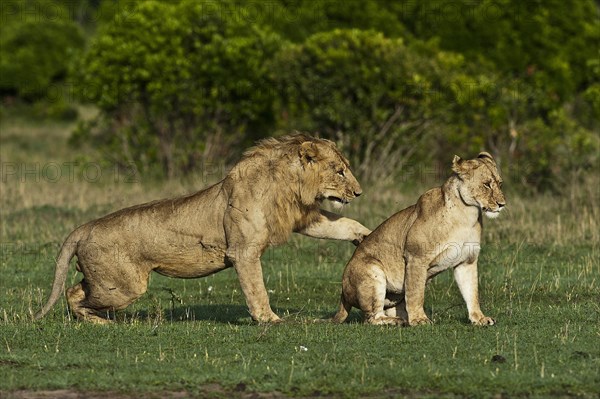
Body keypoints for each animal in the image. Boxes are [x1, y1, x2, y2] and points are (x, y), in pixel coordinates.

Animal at [35, 134, 370, 324]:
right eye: (340, 171)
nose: (359, 192)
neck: (288, 187)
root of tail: (85, 226)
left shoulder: (302, 218)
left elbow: (342, 225)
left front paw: (366, 237)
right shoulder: (243, 251)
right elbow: (256, 288)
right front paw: (269, 320)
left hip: (109, 282)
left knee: (76, 289)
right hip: (125, 286)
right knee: (71, 293)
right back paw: (98, 322)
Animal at [332, 155, 506, 326]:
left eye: (500, 183)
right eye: (486, 184)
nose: (502, 204)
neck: (466, 215)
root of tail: (342, 294)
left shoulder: (466, 262)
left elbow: (472, 293)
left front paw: (480, 319)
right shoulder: (416, 258)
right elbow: (416, 293)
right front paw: (419, 319)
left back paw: (402, 318)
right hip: (372, 271)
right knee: (371, 318)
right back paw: (397, 321)